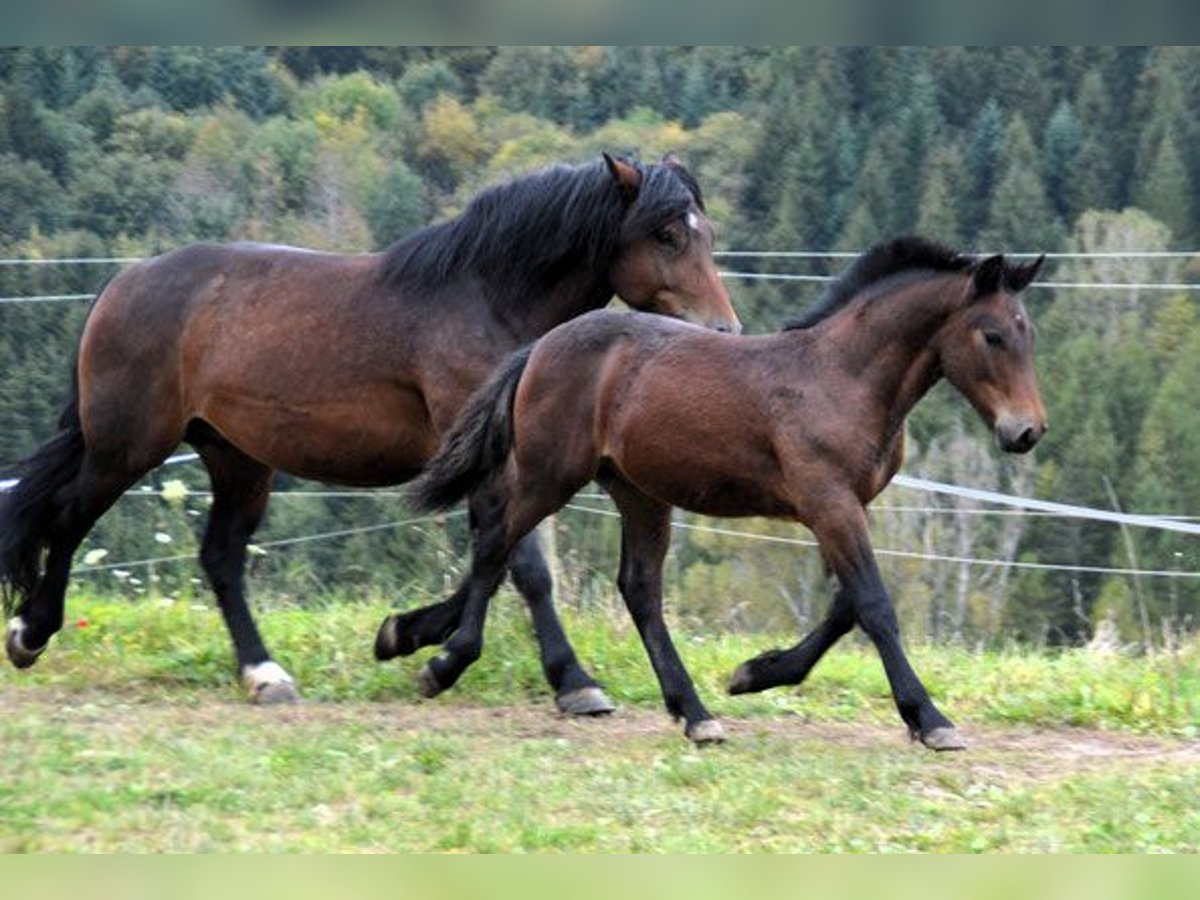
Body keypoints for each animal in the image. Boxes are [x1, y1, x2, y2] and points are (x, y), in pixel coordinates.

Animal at [0, 153, 739, 705]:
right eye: (667, 234)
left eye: (705, 233)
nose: (723, 333)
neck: (487, 300)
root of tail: (124, 282)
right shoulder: (502, 464)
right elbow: (524, 567)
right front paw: (571, 682)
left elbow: (493, 559)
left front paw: (408, 634)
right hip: (128, 446)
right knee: (68, 517)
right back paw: (30, 632)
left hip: (236, 458)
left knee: (220, 558)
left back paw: (265, 675)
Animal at [391, 240, 1041, 753]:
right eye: (992, 335)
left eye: (1029, 333)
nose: (1027, 432)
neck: (843, 377)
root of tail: (539, 348)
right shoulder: (828, 502)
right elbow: (874, 605)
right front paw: (929, 718)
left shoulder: (845, 507)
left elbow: (845, 606)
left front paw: (757, 672)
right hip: (549, 473)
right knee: (497, 540)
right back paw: (446, 662)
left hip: (639, 493)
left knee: (635, 587)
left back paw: (694, 714)